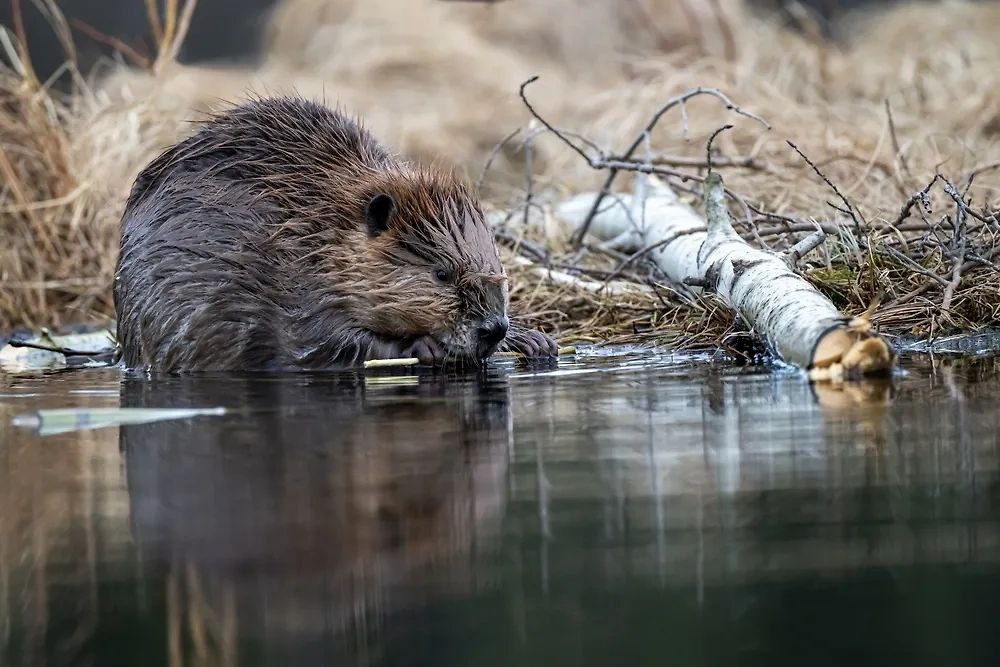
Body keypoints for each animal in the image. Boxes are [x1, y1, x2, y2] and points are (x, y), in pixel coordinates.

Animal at [115, 97, 564, 374]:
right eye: (441, 273)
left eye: (497, 265)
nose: (493, 328)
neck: (312, 230)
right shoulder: (291, 290)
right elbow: (321, 342)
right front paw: (421, 347)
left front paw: (533, 340)